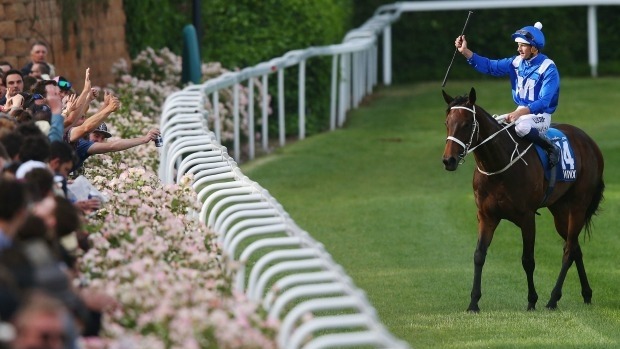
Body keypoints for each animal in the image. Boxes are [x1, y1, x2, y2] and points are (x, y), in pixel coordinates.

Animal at [440, 87, 604, 310]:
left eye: (466, 124)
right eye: (447, 123)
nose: (449, 160)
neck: (499, 166)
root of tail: (590, 142)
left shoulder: (527, 218)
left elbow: (528, 260)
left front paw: (532, 300)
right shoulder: (486, 216)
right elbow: (479, 255)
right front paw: (473, 302)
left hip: (579, 205)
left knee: (569, 250)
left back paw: (553, 299)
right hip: (560, 210)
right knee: (575, 248)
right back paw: (586, 294)